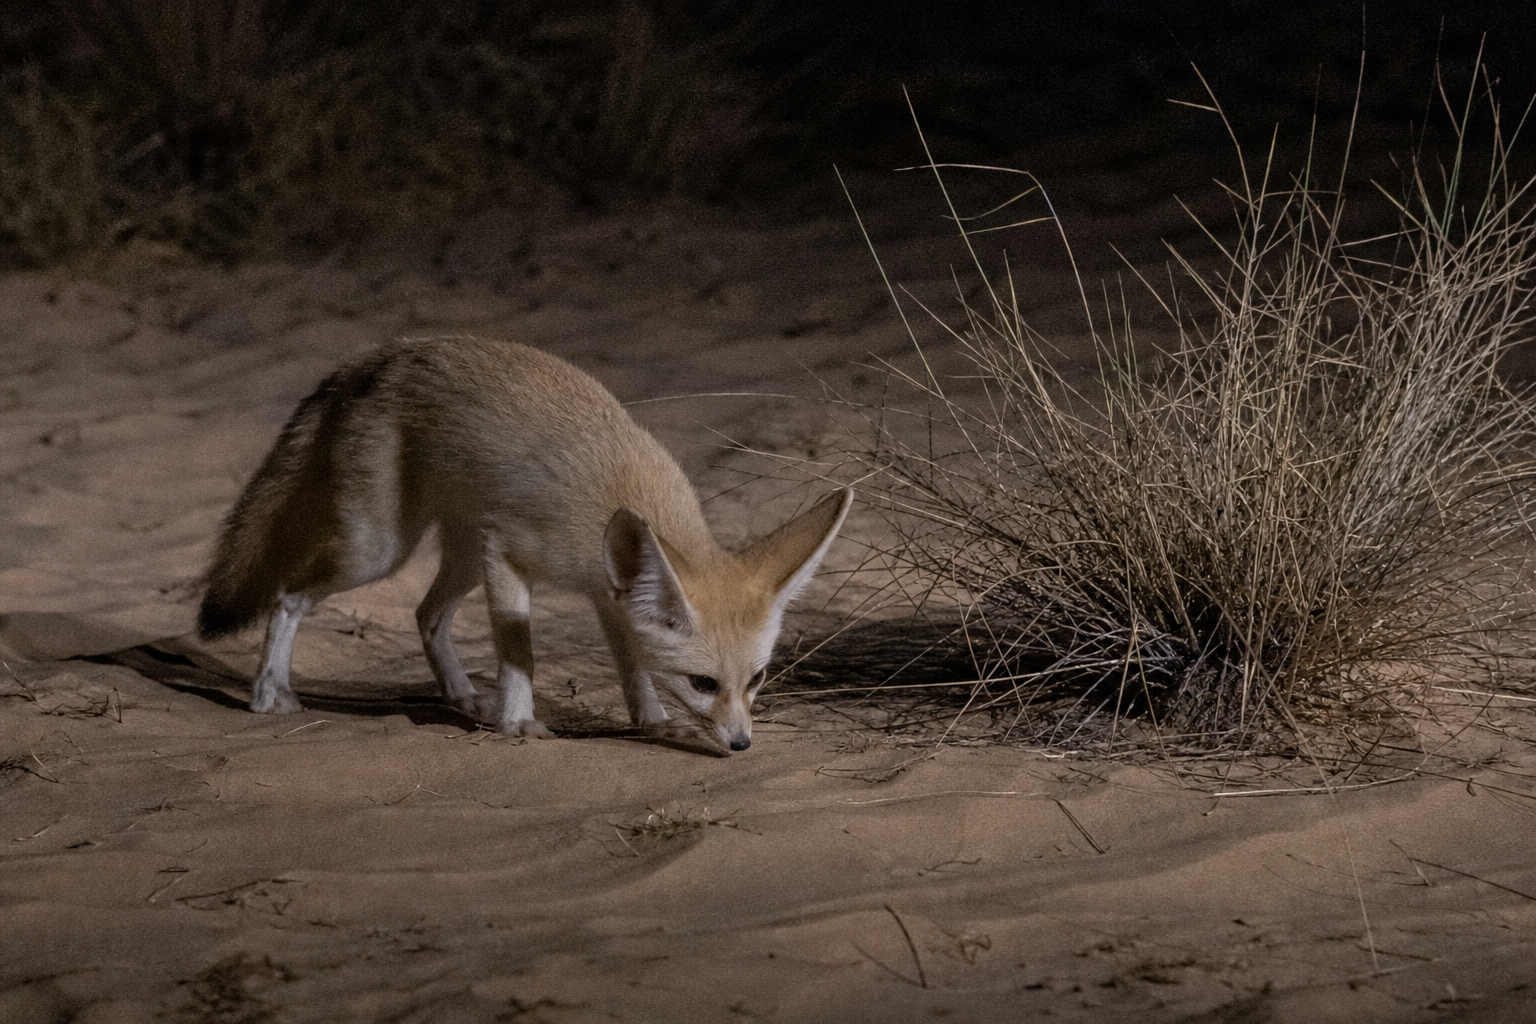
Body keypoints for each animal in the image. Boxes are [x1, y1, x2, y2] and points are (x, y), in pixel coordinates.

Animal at [197, 336, 851, 753]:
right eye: (704, 684)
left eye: (757, 680)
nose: (741, 744)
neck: (620, 494)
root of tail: (387, 352)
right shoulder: (510, 553)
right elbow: (521, 655)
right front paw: (519, 725)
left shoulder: (607, 594)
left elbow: (632, 667)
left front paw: (653, 723)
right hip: (377, 551)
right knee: (288, 597)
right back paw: (268, 692)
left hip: (461, 558)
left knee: (426, 614)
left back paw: (462, 697)